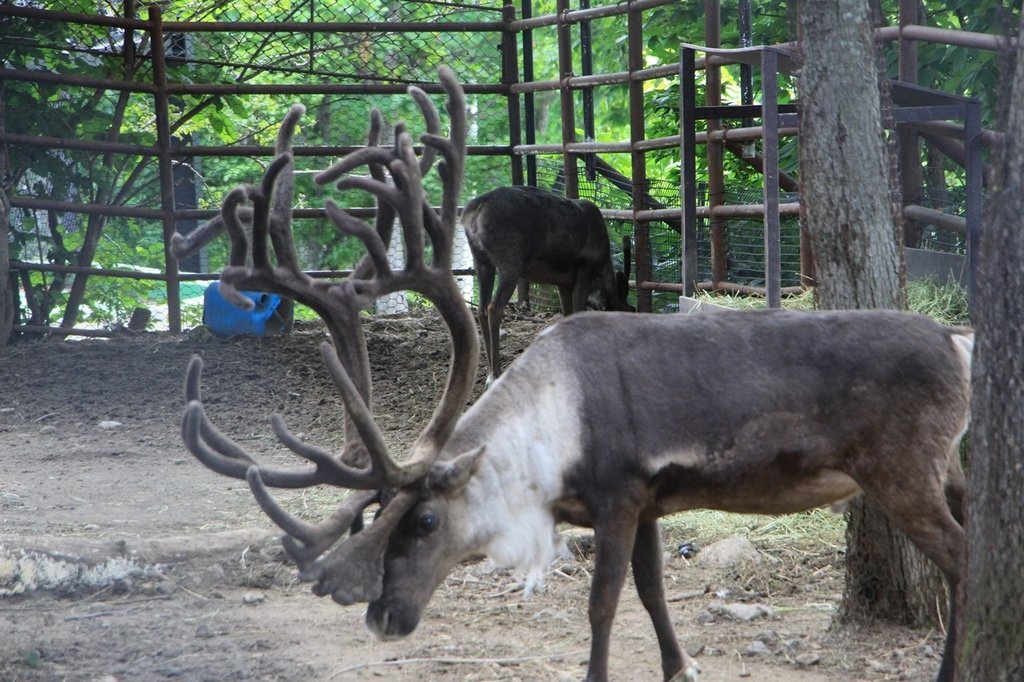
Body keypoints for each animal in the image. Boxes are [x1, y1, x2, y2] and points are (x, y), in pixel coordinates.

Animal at [462, 183, 630, 378]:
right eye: (632, 309)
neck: (603, 270)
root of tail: (473, 211)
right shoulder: (585, 270)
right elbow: (578, 310)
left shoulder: (563, 282)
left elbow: (567, 314)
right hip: (511, 258)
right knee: (494, 307)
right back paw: (494, 373)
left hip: (480, 259)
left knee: (481, 308)